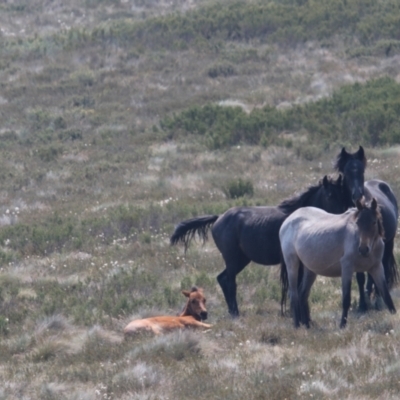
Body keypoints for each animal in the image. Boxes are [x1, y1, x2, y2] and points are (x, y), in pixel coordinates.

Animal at [170, 175, 346, 316]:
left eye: (342, 194)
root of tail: (219, 218)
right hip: (232, 259)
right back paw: (235, 313)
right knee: (229, 281)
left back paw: (232, 311)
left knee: (222, 278)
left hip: (241, 260)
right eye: (330, 195)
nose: (343, 215)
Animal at [280, 198, 396, 328]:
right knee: (293, 294)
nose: (363, 249)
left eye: (374, 222)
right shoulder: (347, 269)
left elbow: (386, 296)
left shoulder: (376, 268)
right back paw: (297, 325)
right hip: (292, 264)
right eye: (357, 223)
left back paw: (307, 325)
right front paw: (342, 325)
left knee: (302, 294)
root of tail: (287, 221)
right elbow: (346, 299)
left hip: (310, 270)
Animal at [336, 145, 398, 310]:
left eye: (362, 171)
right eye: (346, 172)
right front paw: (362, 304)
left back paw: (377, 296)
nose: (357, 195)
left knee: (382, 266)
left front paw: (367, 302)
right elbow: (359, 276)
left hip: (389, 243)